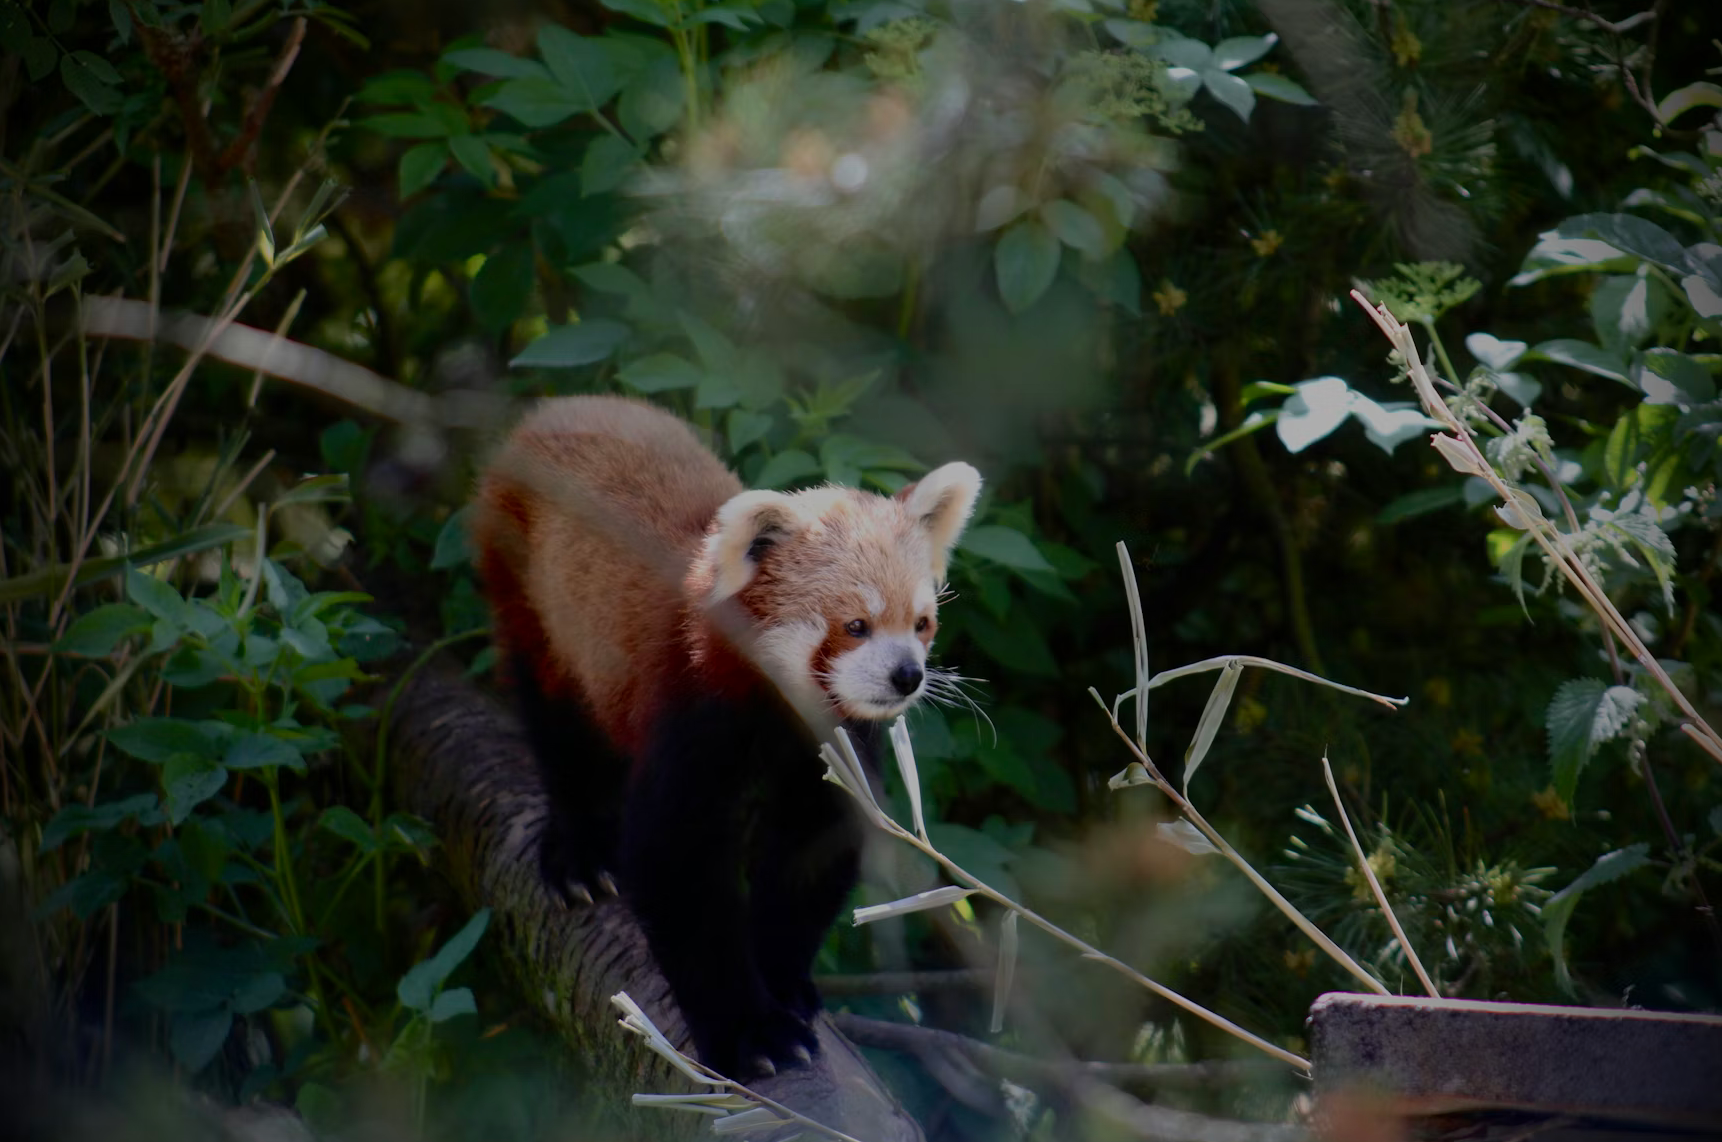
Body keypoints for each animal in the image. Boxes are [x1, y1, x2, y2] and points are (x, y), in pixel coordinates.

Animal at [471, 395, 981, 1079]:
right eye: (855, 625)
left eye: (922, 623)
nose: (907, 675)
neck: (776, 706)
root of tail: (563, 405)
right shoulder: (691, 712)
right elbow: (675, 861)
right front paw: (753, 1033)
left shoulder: (834, 744)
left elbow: (810, 849)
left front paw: (782, 980)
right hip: (528, 585)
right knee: (558, 720)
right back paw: (579, 851)